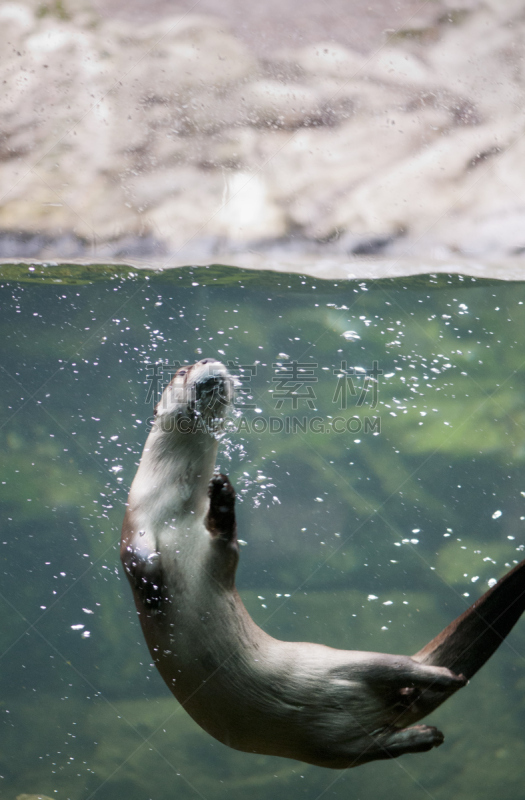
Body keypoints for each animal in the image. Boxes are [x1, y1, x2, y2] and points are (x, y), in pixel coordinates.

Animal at [121, 358, 524, 768]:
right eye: (182, 371)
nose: (206, 361)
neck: (180, 507)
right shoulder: (136, 523)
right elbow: (134, 560)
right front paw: (151, 589)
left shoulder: (214, 553)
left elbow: (226, 548)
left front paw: (223, 496)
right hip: (334, 747)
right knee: (374, 745)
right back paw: (426, 732)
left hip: (339, 662)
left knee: (396, 666)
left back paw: (444, 679)